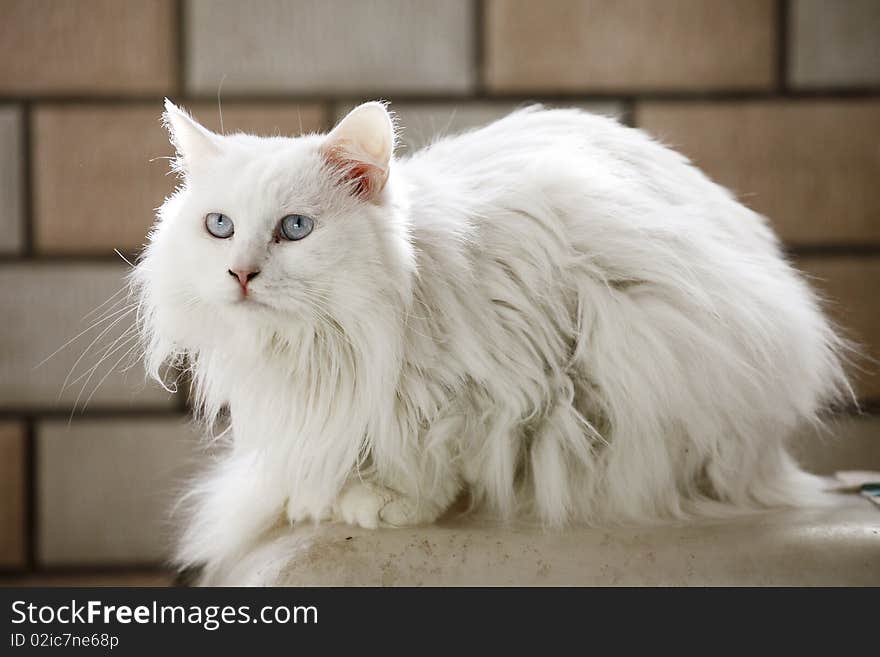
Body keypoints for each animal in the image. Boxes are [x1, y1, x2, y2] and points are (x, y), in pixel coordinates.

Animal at [136, 100, 852, 576]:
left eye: (294, 228)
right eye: (220, 226)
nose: (241, 273)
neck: (336, 338)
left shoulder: (517, 371)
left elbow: (443, 447)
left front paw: (390, 502)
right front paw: (335, 494)